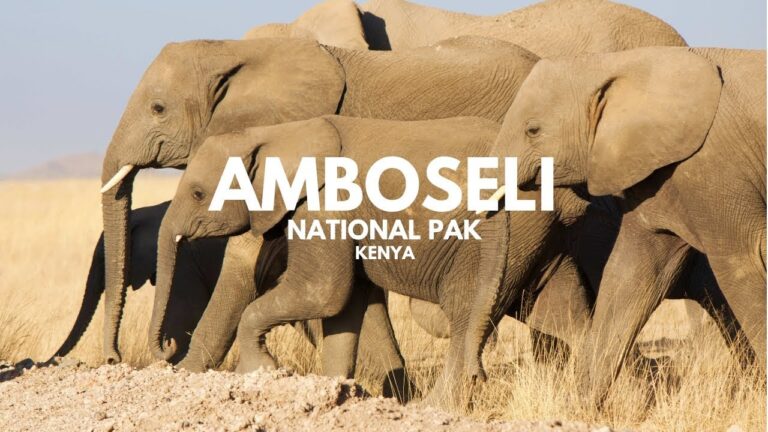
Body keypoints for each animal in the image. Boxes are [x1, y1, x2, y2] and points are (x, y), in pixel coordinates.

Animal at [496, 46, 766, 407]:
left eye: (533, 130)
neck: (614, 62)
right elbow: (631, 273)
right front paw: (581, 407)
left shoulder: (714, 169)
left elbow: (743, 265)